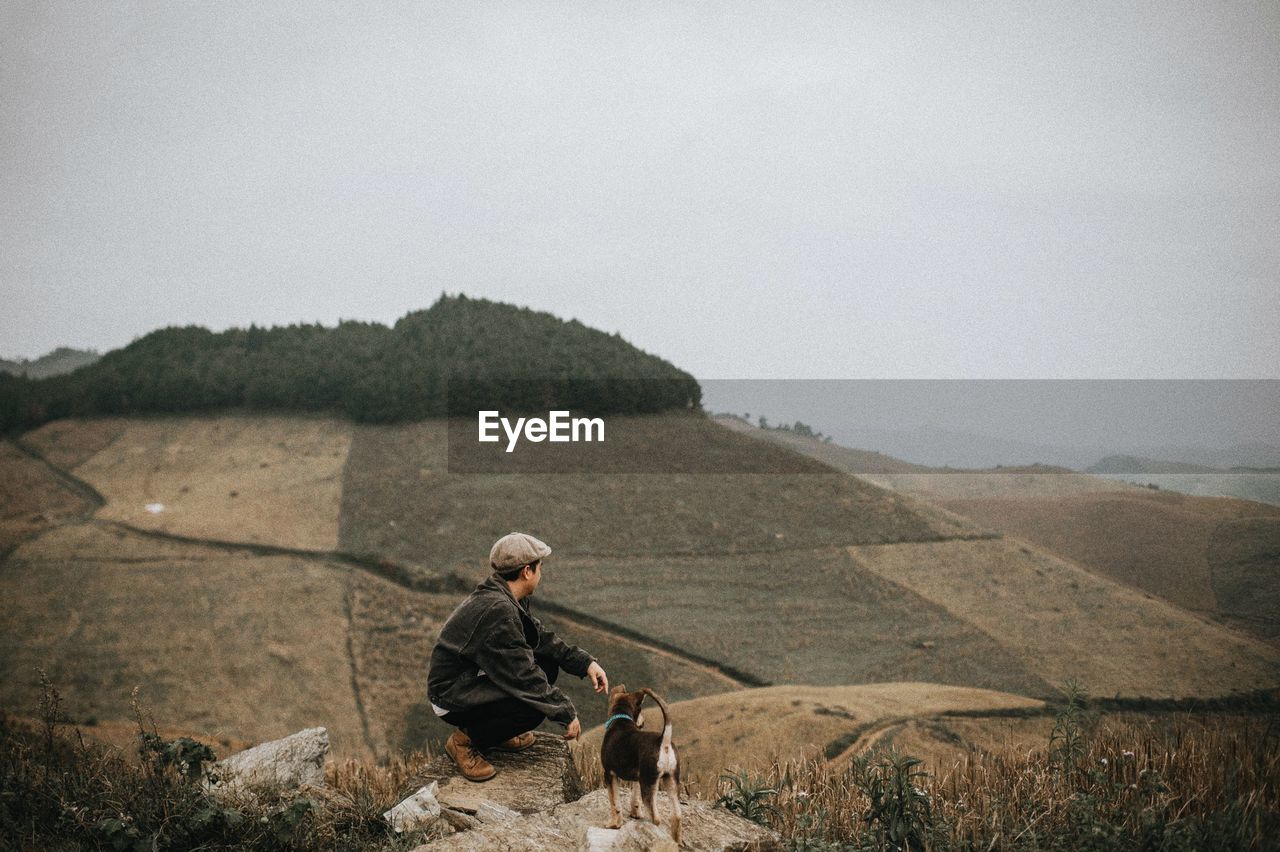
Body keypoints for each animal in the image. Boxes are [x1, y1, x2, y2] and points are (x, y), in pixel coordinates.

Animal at [599, 680, 680, 839]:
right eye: (641, 709)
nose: (643, 723)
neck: (621, 719)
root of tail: (663, 741)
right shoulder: (638, 778)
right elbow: (634, 798)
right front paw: (635, 814)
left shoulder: (609, 774)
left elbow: (614, 802)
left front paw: (614, 824)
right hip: (670, 780)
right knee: (677, 815)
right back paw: (675, 841)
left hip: (649, 782)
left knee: (656, 818)